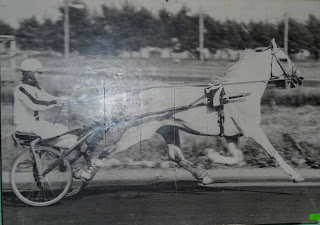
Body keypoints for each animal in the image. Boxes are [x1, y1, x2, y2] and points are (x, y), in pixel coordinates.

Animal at [95, 39, 304, 185]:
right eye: (284, 59)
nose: (300, 78)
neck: (239, 93)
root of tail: (139, 94)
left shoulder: (231, 135)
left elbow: (238, 158)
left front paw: (211, 156)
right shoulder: (252, 129)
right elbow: (273, 152)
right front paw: (296, 175)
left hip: (169, 129)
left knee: (175, 156)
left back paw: (203, 176)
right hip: (139, 131)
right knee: (107, 152)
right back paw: (88, 172)